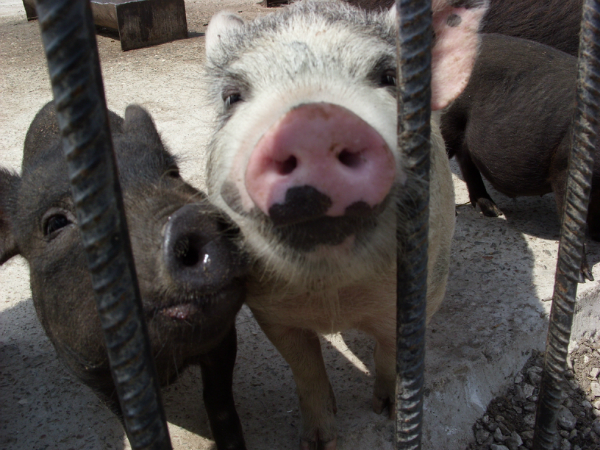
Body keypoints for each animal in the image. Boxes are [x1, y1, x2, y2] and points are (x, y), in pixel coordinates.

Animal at [0, 102, 248, 450]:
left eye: (172, 174)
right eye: (55, 223)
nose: (192, 219)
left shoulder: (223, 336)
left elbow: (220, 400)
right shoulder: (90, 372)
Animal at [203, 1, 488, 448]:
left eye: (390, 77)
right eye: (232, 96)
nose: (312, 122)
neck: (332, 295)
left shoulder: (423, 290)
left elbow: (390, 353)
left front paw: (386, 411)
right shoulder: (267, 308)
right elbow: (304, 368)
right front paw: (320, 439)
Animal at [440, 33, 599, 281]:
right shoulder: (565, 165)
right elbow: (571, 217)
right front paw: (584, 277)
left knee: (466, 159)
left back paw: (491, 211)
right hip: (449, 120)